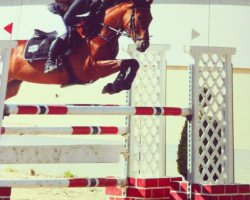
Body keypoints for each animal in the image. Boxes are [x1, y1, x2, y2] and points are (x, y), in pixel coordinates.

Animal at [6, 0, 152, 99]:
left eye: (151, 19)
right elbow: (124, 63)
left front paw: (117, 86)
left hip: (12, 86)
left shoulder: (106, 61)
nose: (143, 45)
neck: (99, 33)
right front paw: (116, 86)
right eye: (139, 17)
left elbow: (132, 63)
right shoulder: (91, 68)